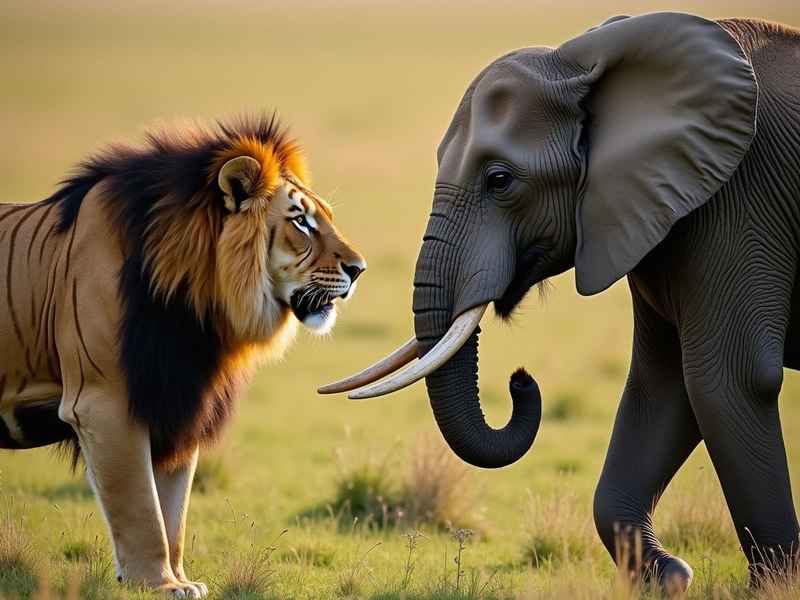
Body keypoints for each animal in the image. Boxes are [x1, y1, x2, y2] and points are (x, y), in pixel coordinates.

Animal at [321, 12, 800, 590]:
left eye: (500, 180)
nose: (520, 380)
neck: (590, 60)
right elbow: (663, 385)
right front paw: (670, 578)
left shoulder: (740, 201)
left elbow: (728, 381)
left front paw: (771, 590)